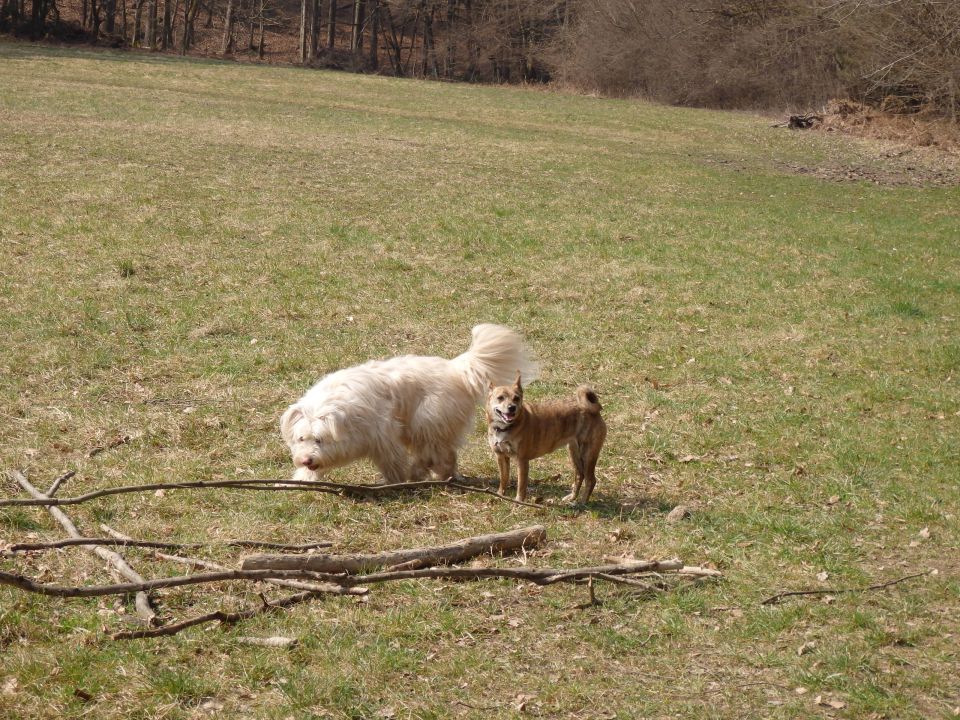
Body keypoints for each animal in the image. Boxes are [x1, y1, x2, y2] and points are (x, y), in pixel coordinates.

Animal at [280, 324, 540, 484]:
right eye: (301, 439)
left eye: (320, 440)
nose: (306, 459)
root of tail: (455, 368)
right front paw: (303, 480)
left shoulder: (384, 436)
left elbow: (392, 462)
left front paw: (393, 481)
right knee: (445, 454)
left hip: (426, 421)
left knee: (431, 453)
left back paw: (420, 473)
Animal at [488, 374, 608, 504]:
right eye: (500, 398)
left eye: (516, 398)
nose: (512, 408)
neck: (505, 428)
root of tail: (594, 411)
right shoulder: (500, 456)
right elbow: (503, 479)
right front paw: (500, 495)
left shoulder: (522, 460)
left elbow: (521, 486)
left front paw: (519, 502)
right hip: (574, 452)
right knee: (580, 475)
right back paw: (572, 497)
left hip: (588, 455)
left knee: (591, 480)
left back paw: (582, 503)